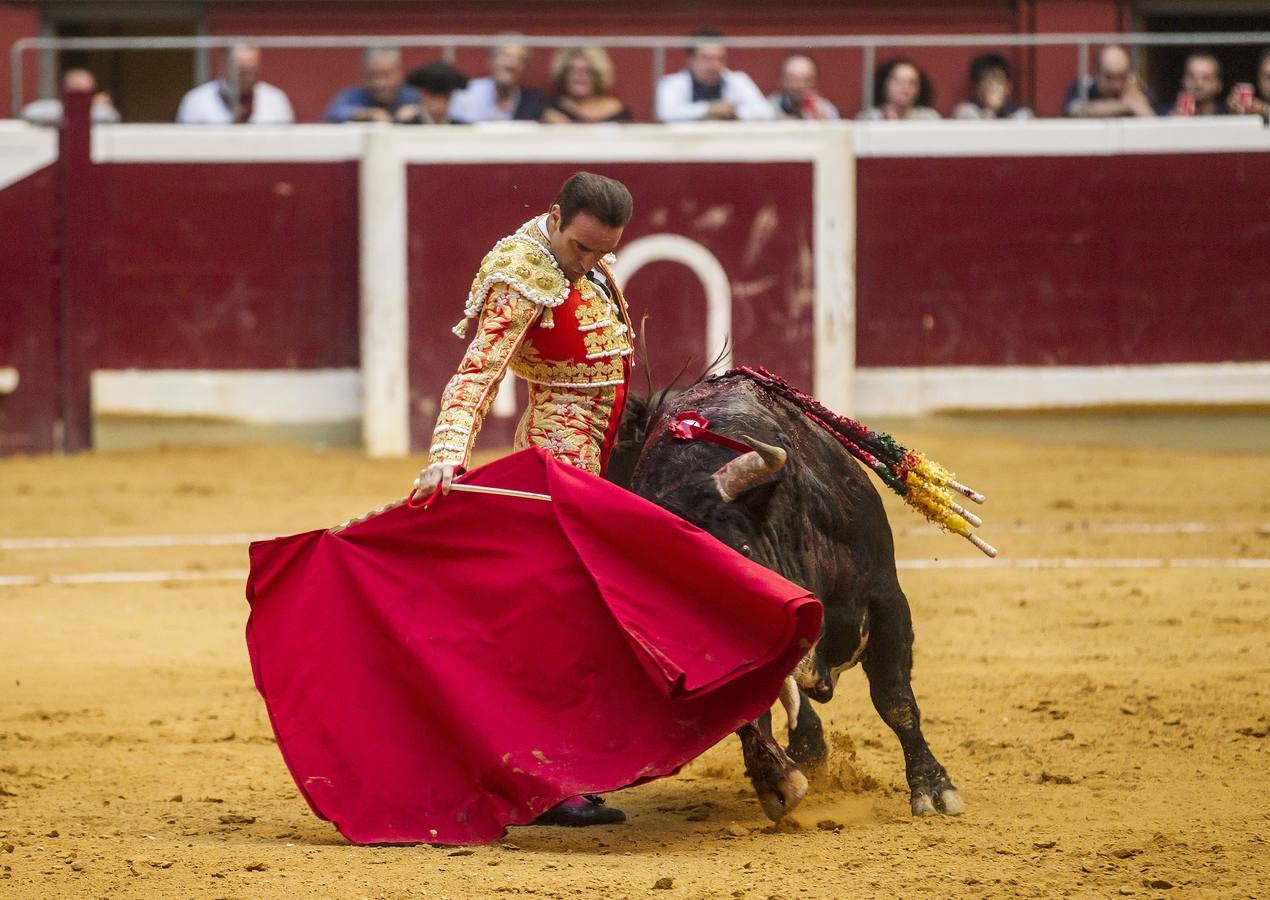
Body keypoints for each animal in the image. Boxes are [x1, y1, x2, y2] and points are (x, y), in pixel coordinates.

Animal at [604, 375, 960, 817]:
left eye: (742, 552)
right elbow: (748, 716)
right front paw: (778, 780)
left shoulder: (886, 599)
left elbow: (894, 699)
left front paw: (933, 789)